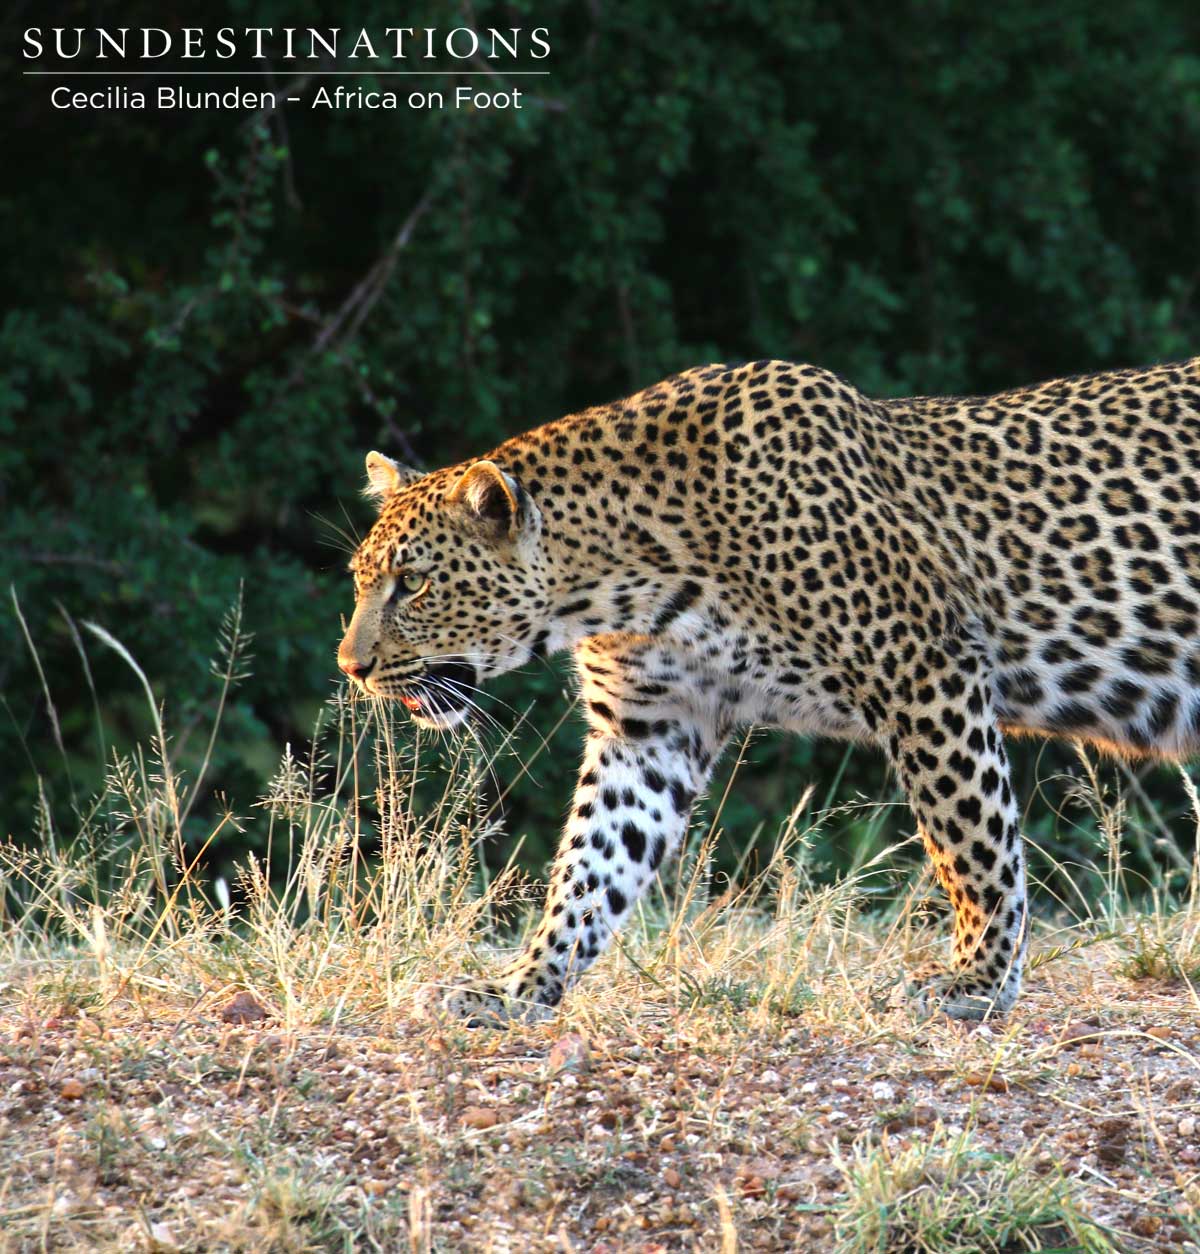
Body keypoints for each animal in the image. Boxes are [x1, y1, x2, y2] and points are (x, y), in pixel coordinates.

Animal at [336, 357, 1200, 1024]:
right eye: (360, 579)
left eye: (415, 584)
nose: (351, 667)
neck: (623, 578)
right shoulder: (649, 729)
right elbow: (591, 869)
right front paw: (521, 988)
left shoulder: (926, 666)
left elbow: (972, 840)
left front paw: (978, 982)